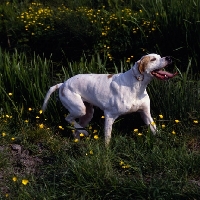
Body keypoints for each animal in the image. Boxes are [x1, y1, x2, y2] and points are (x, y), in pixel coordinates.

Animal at [41, 53, 177, 145]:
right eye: (153, 59)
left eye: (160, 56)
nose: (169, 57)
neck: (137, 85)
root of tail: (63, 84)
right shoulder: (109, 115)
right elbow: (107, 138)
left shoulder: (146, 115)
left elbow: (155, 131)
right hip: (79, 109)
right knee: (68, 119)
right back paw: (85, 133)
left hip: (87, 114)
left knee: (76, 128)